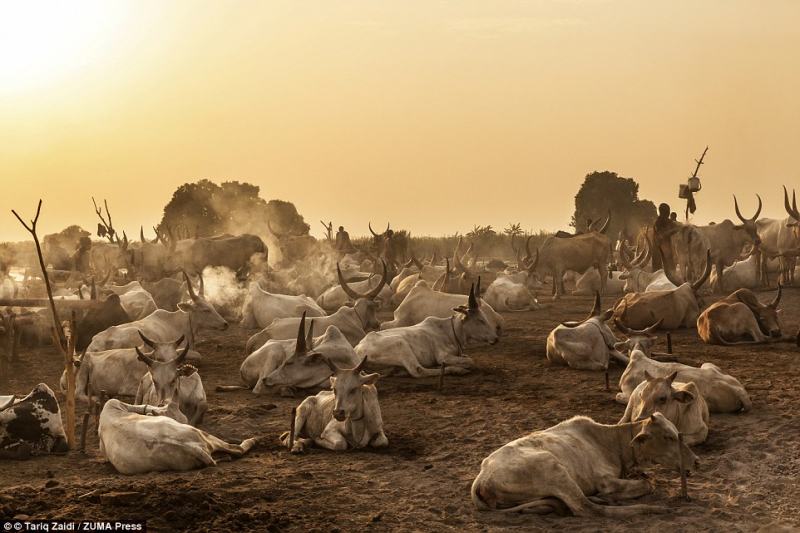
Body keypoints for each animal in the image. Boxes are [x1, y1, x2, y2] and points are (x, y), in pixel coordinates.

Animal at [360, 280, 496, 376]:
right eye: (480, 320)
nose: (496, 338)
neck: (450, 331)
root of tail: (358, 349)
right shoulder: (443, 356)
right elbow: (470, 361)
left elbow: (467, 358)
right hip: (401, 344)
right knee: (418, 370)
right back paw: (455, 370)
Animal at [472, 412, 696, 516]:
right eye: (668, 437)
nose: (696, 461)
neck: (611, 442)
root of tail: (482, 478)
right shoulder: (605, 481)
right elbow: (648, 484)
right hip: (554, 469)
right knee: (587, 509)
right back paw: (652, 509)